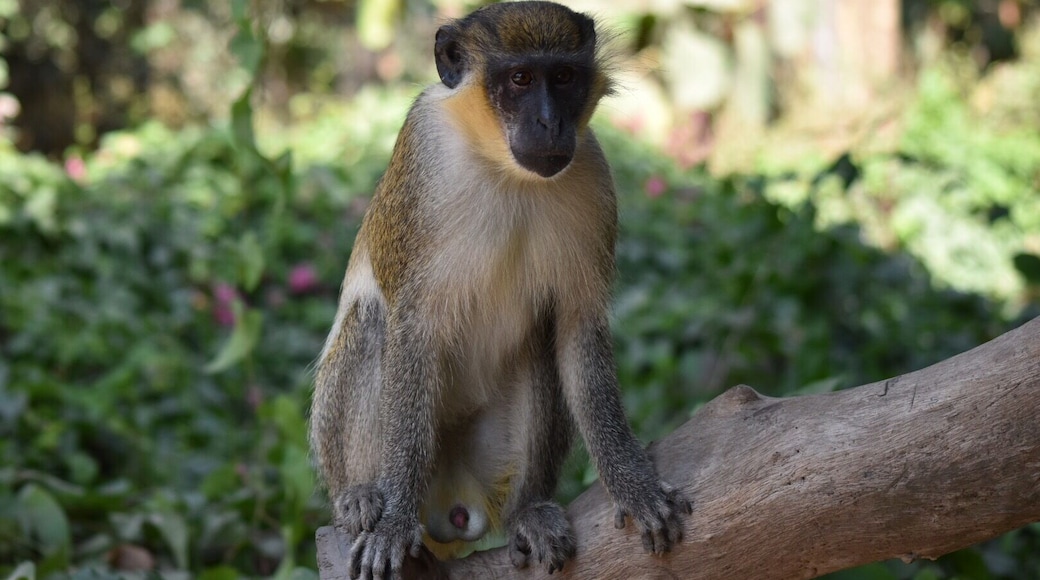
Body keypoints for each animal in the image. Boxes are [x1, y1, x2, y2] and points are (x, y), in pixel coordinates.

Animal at [309, 2, 693, 579]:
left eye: (563, 77)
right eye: (519, 79)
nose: (550, 122)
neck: (503, 167)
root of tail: (450, 499)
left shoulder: (592, 171)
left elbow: (576, 327)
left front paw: (633, 482)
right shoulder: (423, 152)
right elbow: (410, 328)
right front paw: (393, 522)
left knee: (540, 346)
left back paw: (525, 510)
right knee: (372, 325)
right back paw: (361, 496)